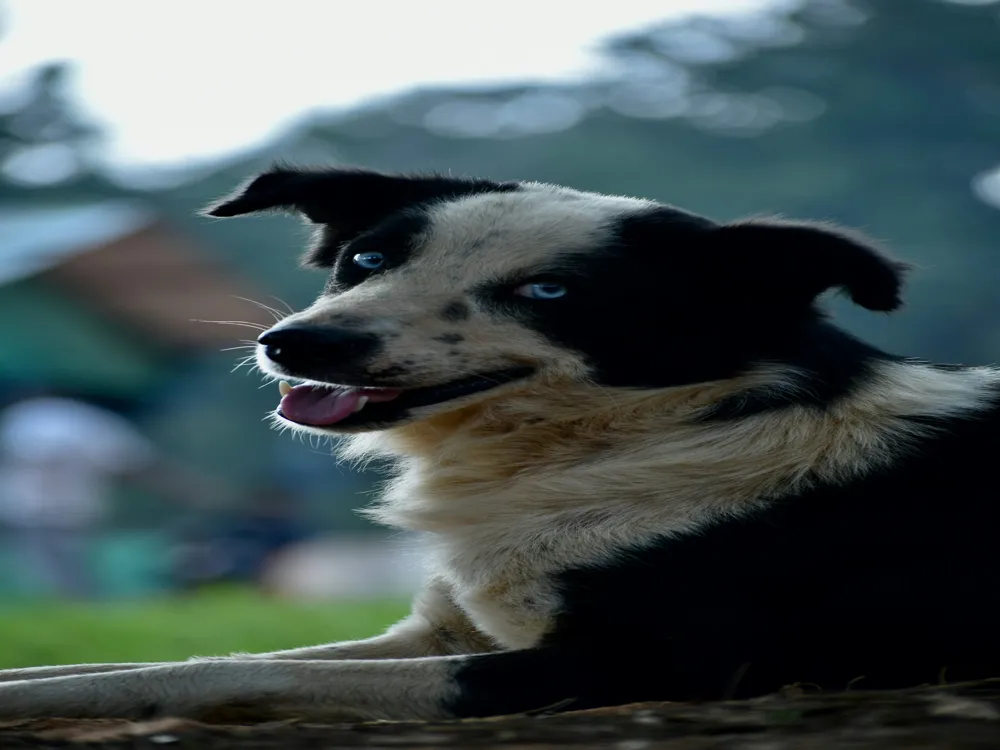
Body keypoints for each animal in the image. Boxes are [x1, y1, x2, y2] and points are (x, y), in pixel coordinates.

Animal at [1, 167, 1000, 724]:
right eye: (365, 261)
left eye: (547, 292)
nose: (296, 343)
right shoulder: (441, 630)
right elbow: (167, 665)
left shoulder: (633, 666)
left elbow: (205, 674)